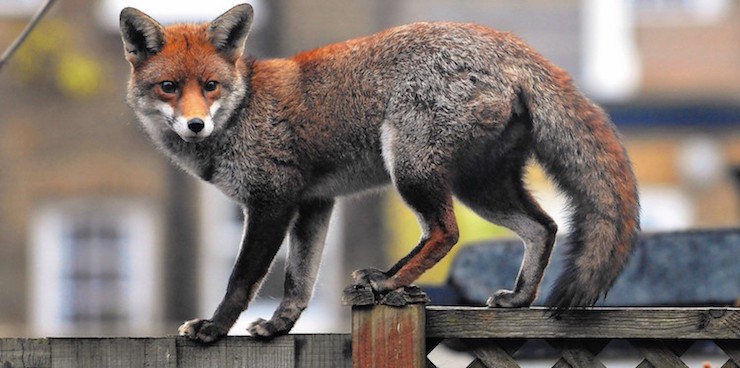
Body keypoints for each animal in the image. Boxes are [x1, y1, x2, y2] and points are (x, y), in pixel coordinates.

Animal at [118, 4, 640, 342]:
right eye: (169, 87)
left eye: (210, 86)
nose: (195, 124)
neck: (244, 111)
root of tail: (511, 45)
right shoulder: (314, 203)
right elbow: (298, 282)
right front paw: (280, 327)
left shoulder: (272, 200)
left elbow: (242, 279)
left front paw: (213, 329)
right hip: (478, 186)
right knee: (543, 227)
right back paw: (517, 298)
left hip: (411, 166)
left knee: (445, 233)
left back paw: (389, 284)